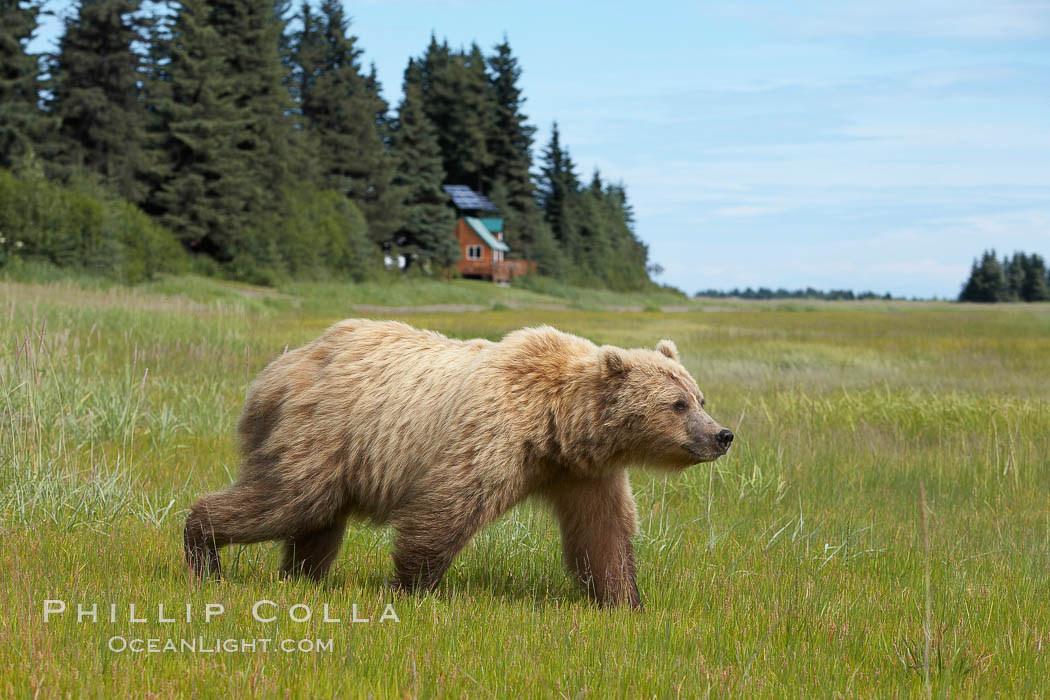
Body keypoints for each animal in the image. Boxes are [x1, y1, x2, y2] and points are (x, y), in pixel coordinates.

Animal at [184, 321, 730, 608]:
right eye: (677, 404)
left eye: (700, 397)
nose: (721, 435)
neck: (555, 425)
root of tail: (276, 372)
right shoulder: (492, 435)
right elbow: (447, 509)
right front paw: (410, 589)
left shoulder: (583, 473)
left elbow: (604, 533)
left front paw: (624, 601)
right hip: (325, 431)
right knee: (286, 501)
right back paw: (203, 548)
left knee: (317, 521)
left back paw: (301, 576)